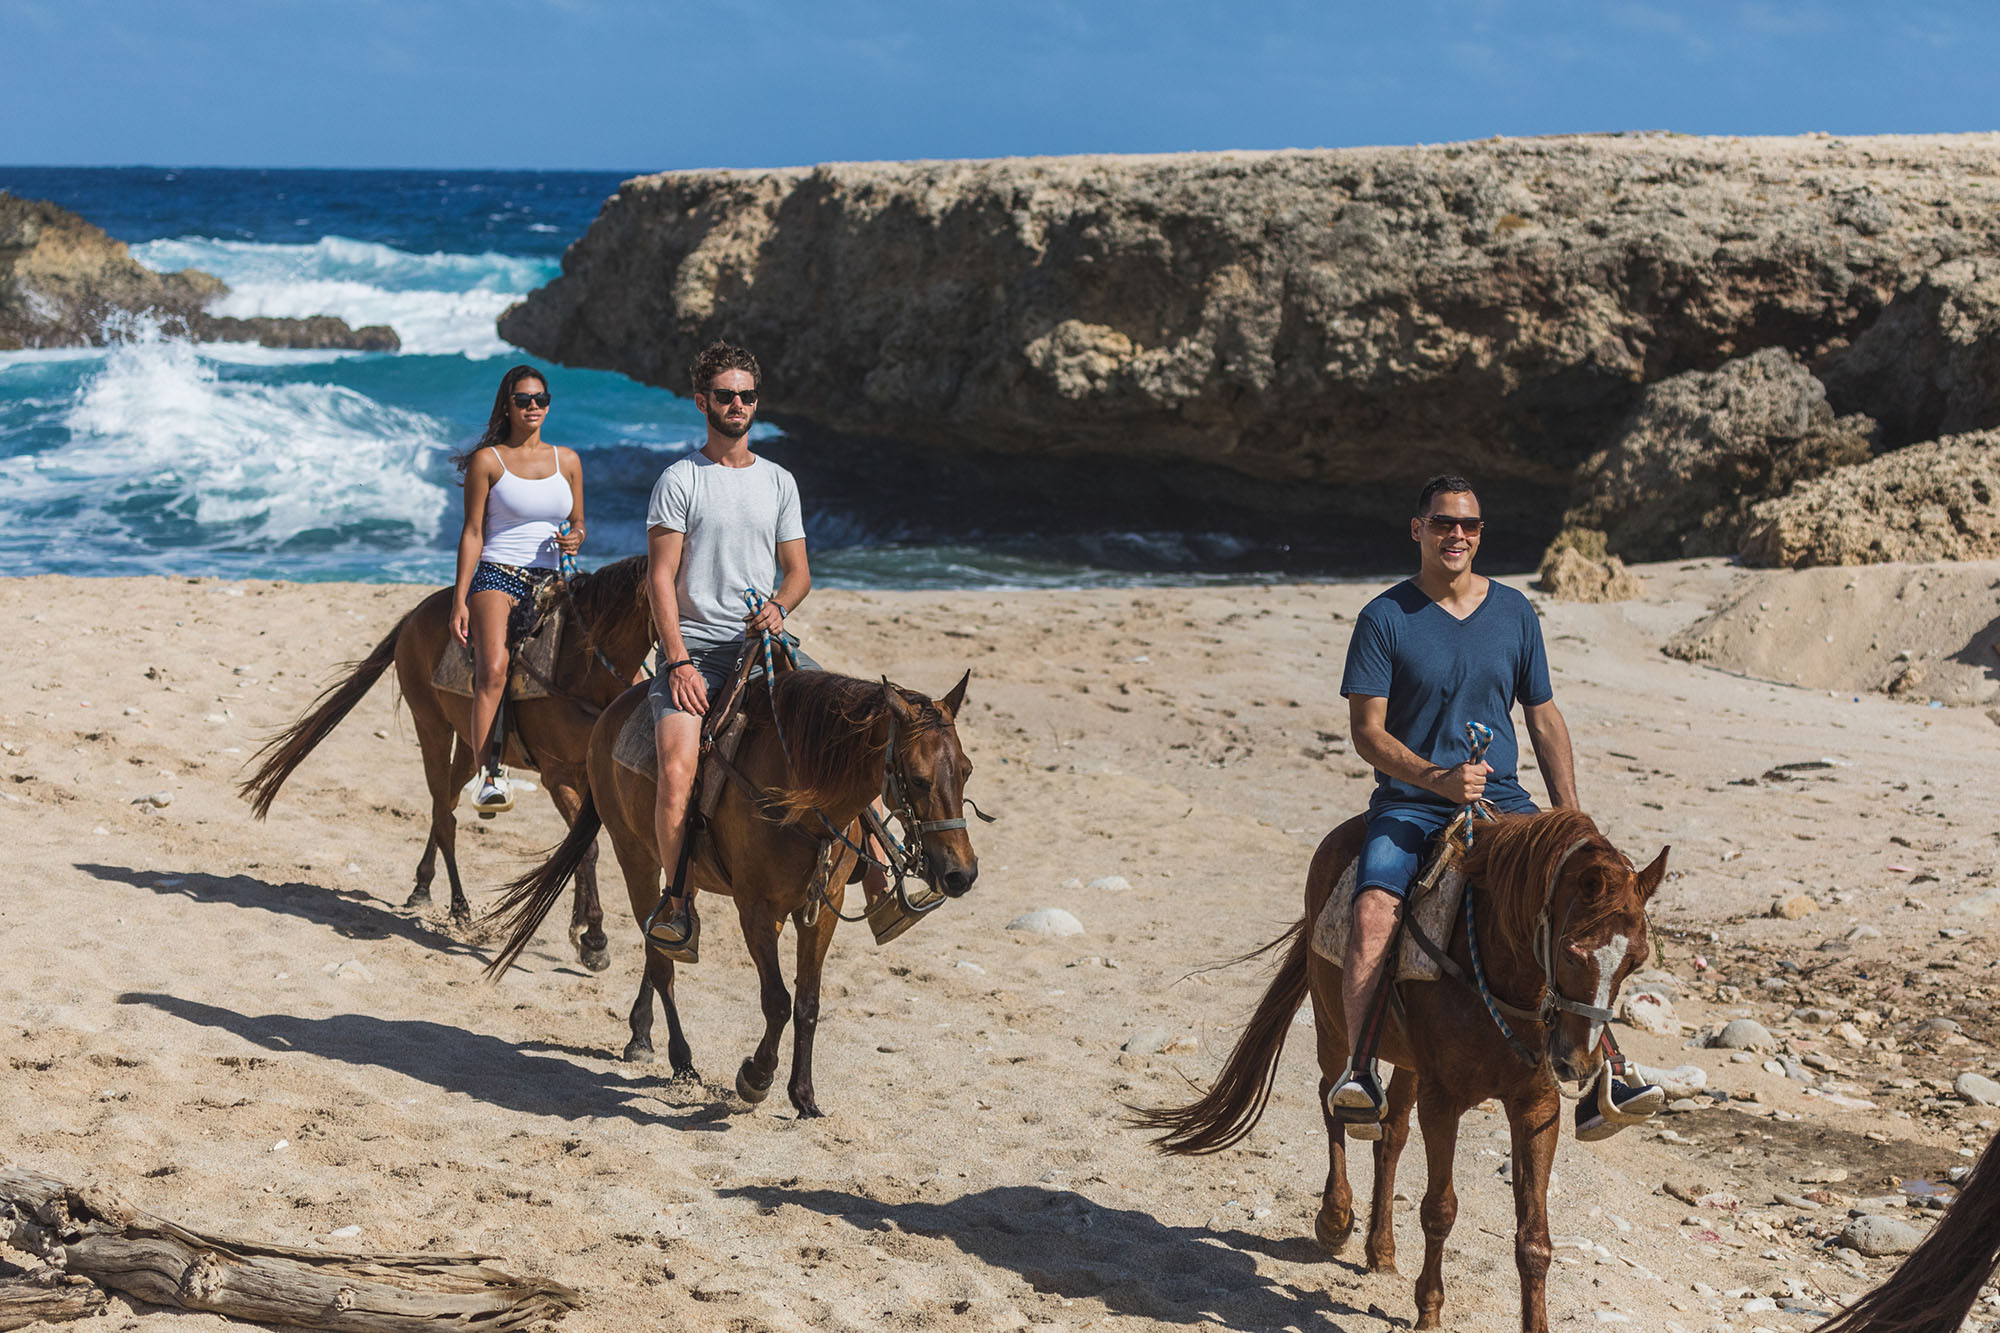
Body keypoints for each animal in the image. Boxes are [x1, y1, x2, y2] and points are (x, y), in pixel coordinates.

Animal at [238, 548, 652, 956]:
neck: (582, 667)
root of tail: (415, 614)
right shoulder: (558, 776)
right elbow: (587, 850)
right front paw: (594, 937)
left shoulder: (589, 778)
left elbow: (579, 847)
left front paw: (580, 927)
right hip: (432, 726)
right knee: (444, 816)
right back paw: (458, 906)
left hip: (470, 745)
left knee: (445, 805)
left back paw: (422, 886)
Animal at [486, 664, 984, 1112]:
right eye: (918, 778)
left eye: (966, 770)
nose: (961, 873)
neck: (802, 798)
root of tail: (612, 712)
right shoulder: (757, 910)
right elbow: (777, 1001)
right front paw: (756, 1078)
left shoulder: (822, 910)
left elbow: (807, 1002)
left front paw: (803, 1097)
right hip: (637, 857)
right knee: (661, 963)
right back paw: (681, 1061)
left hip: (684, 877)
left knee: (662, 938)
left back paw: (642, 1033)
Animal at [1136, 804, 1664, 1320]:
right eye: (1573, 954)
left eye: (1635, 961)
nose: (1579, 1063)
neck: (1499, 975)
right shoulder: (1443, 1100)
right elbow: (1439, 1210)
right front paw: (1428, 1312)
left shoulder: (1536, 1107)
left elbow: (1533, 1239)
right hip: (1332, 1025)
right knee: (1334, 1103)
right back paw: (1335, 1218)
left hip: (1409, 1063)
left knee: (1390, 1135)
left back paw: (1381, 1250)